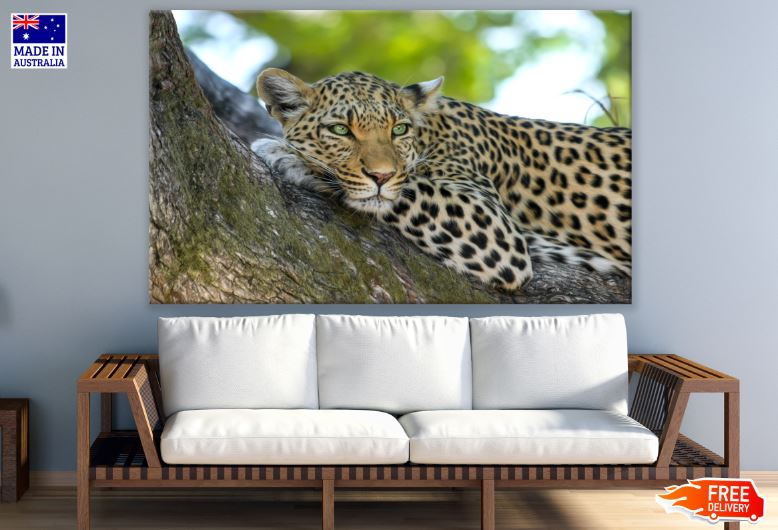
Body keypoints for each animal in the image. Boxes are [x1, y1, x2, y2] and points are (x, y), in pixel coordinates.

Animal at [252, 68, 631, 292]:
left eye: (399, 130)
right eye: (340, 130)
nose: (381, 175)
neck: (430, 132)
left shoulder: (495, 228)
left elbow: (407, 188)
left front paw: (288, 156)